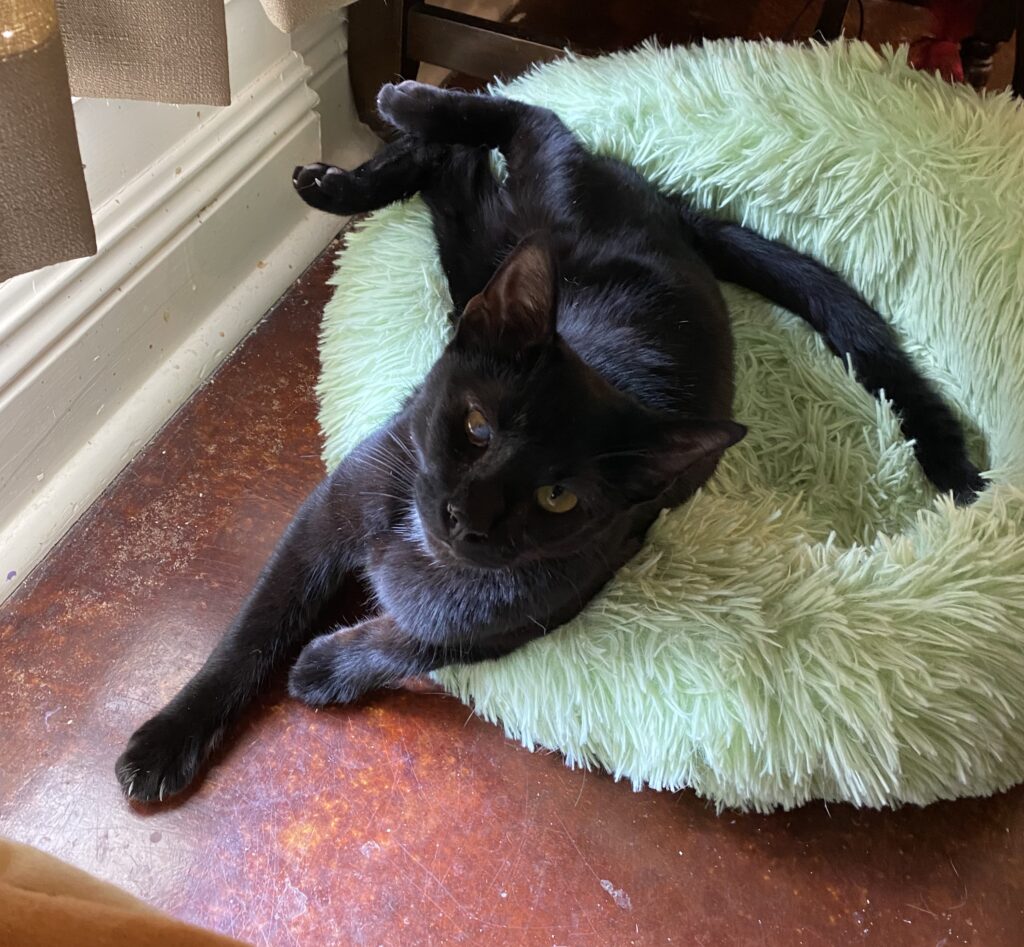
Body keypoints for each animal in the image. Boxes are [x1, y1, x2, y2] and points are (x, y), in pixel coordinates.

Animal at [114, 82, 983, 806]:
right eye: (476, 425)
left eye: (559, 496)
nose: (466, 516)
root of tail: (676, 218)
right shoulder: (326, 513)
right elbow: (252, 630)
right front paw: (167, 739)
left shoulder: (544, 606)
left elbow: (419, 641)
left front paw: (328, 666)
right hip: (532, 209)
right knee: (523, 123)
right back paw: (388, 120)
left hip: (472, 250)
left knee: (471, 162)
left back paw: (367, 157)